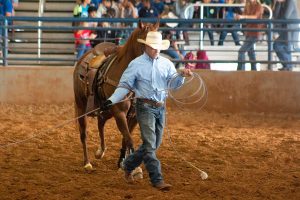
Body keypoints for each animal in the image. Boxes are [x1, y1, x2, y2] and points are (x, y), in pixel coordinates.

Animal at [72, 20, 159, 170]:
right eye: (145, 42)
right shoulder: (119, 112)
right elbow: (129, 138)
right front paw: (134, 170)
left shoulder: (134, 116)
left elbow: (125, 137)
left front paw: (122, 161)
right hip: (81, 106)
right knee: (83, 134)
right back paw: (87, 162)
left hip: (105, 109)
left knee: (100, 124)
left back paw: (100, 151)